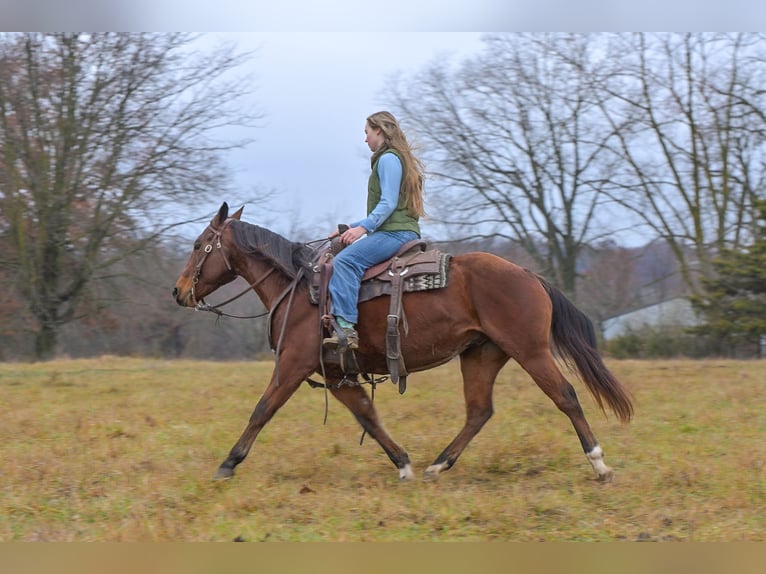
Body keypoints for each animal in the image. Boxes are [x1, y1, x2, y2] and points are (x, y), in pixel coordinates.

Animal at [172, 202, 633, 482]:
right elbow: (369, 418)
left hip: (531, 351)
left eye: (198, 245)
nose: (178, 292)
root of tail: (528, 274)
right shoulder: (337, 374)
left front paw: (228, 464)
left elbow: (261, 410)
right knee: (479, 411)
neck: (300, 287)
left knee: (566, 396)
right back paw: (438, 465)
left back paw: (599, 463)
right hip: (481, 354)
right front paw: (404, 464)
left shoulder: (292, 365)